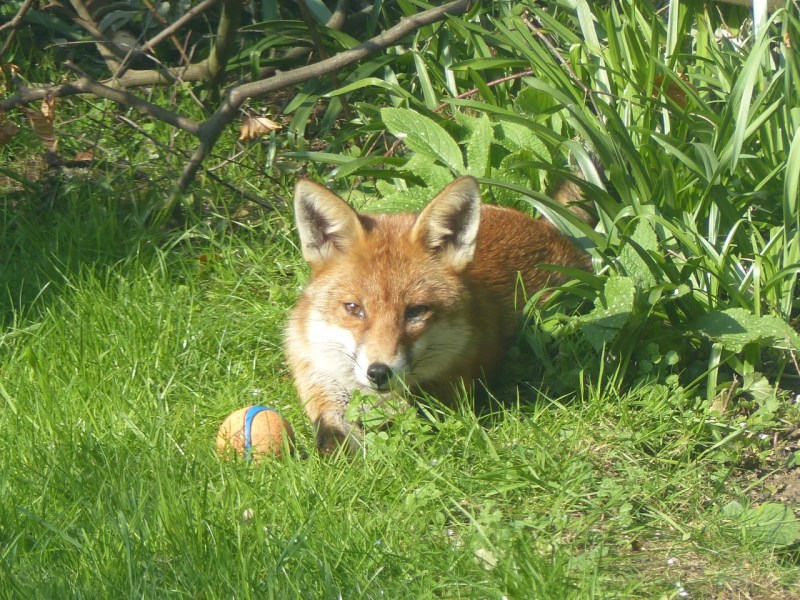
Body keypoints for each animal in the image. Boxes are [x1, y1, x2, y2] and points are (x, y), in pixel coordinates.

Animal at [285, 176, 590, 454]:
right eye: (353, 308)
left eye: (417, 311)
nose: (379, 373)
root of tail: (546, 226)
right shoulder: (323, 383)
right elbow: (331, 437)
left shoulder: (444, 394)